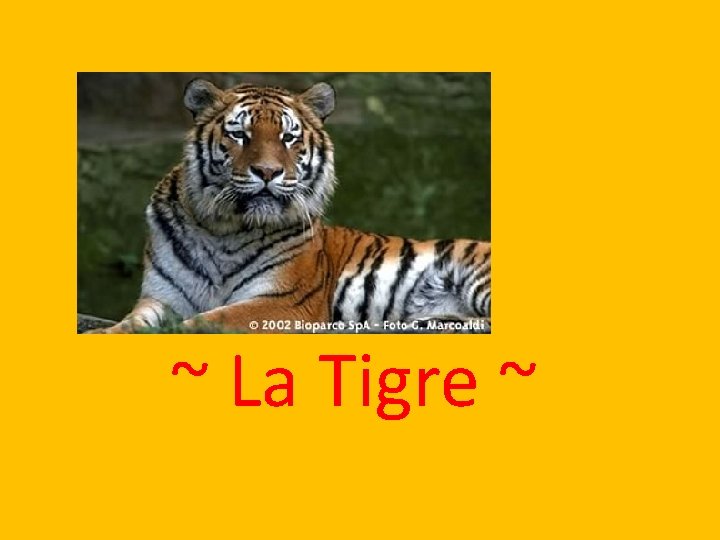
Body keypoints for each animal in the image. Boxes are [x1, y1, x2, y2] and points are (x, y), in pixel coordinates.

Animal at [88, 78, 490, 333]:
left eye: (288, 137)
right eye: (240, 134)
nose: (268, 171)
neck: (224, 228)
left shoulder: (281, 301)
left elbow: (208, 321)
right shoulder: (161, 297)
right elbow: (132, 323)